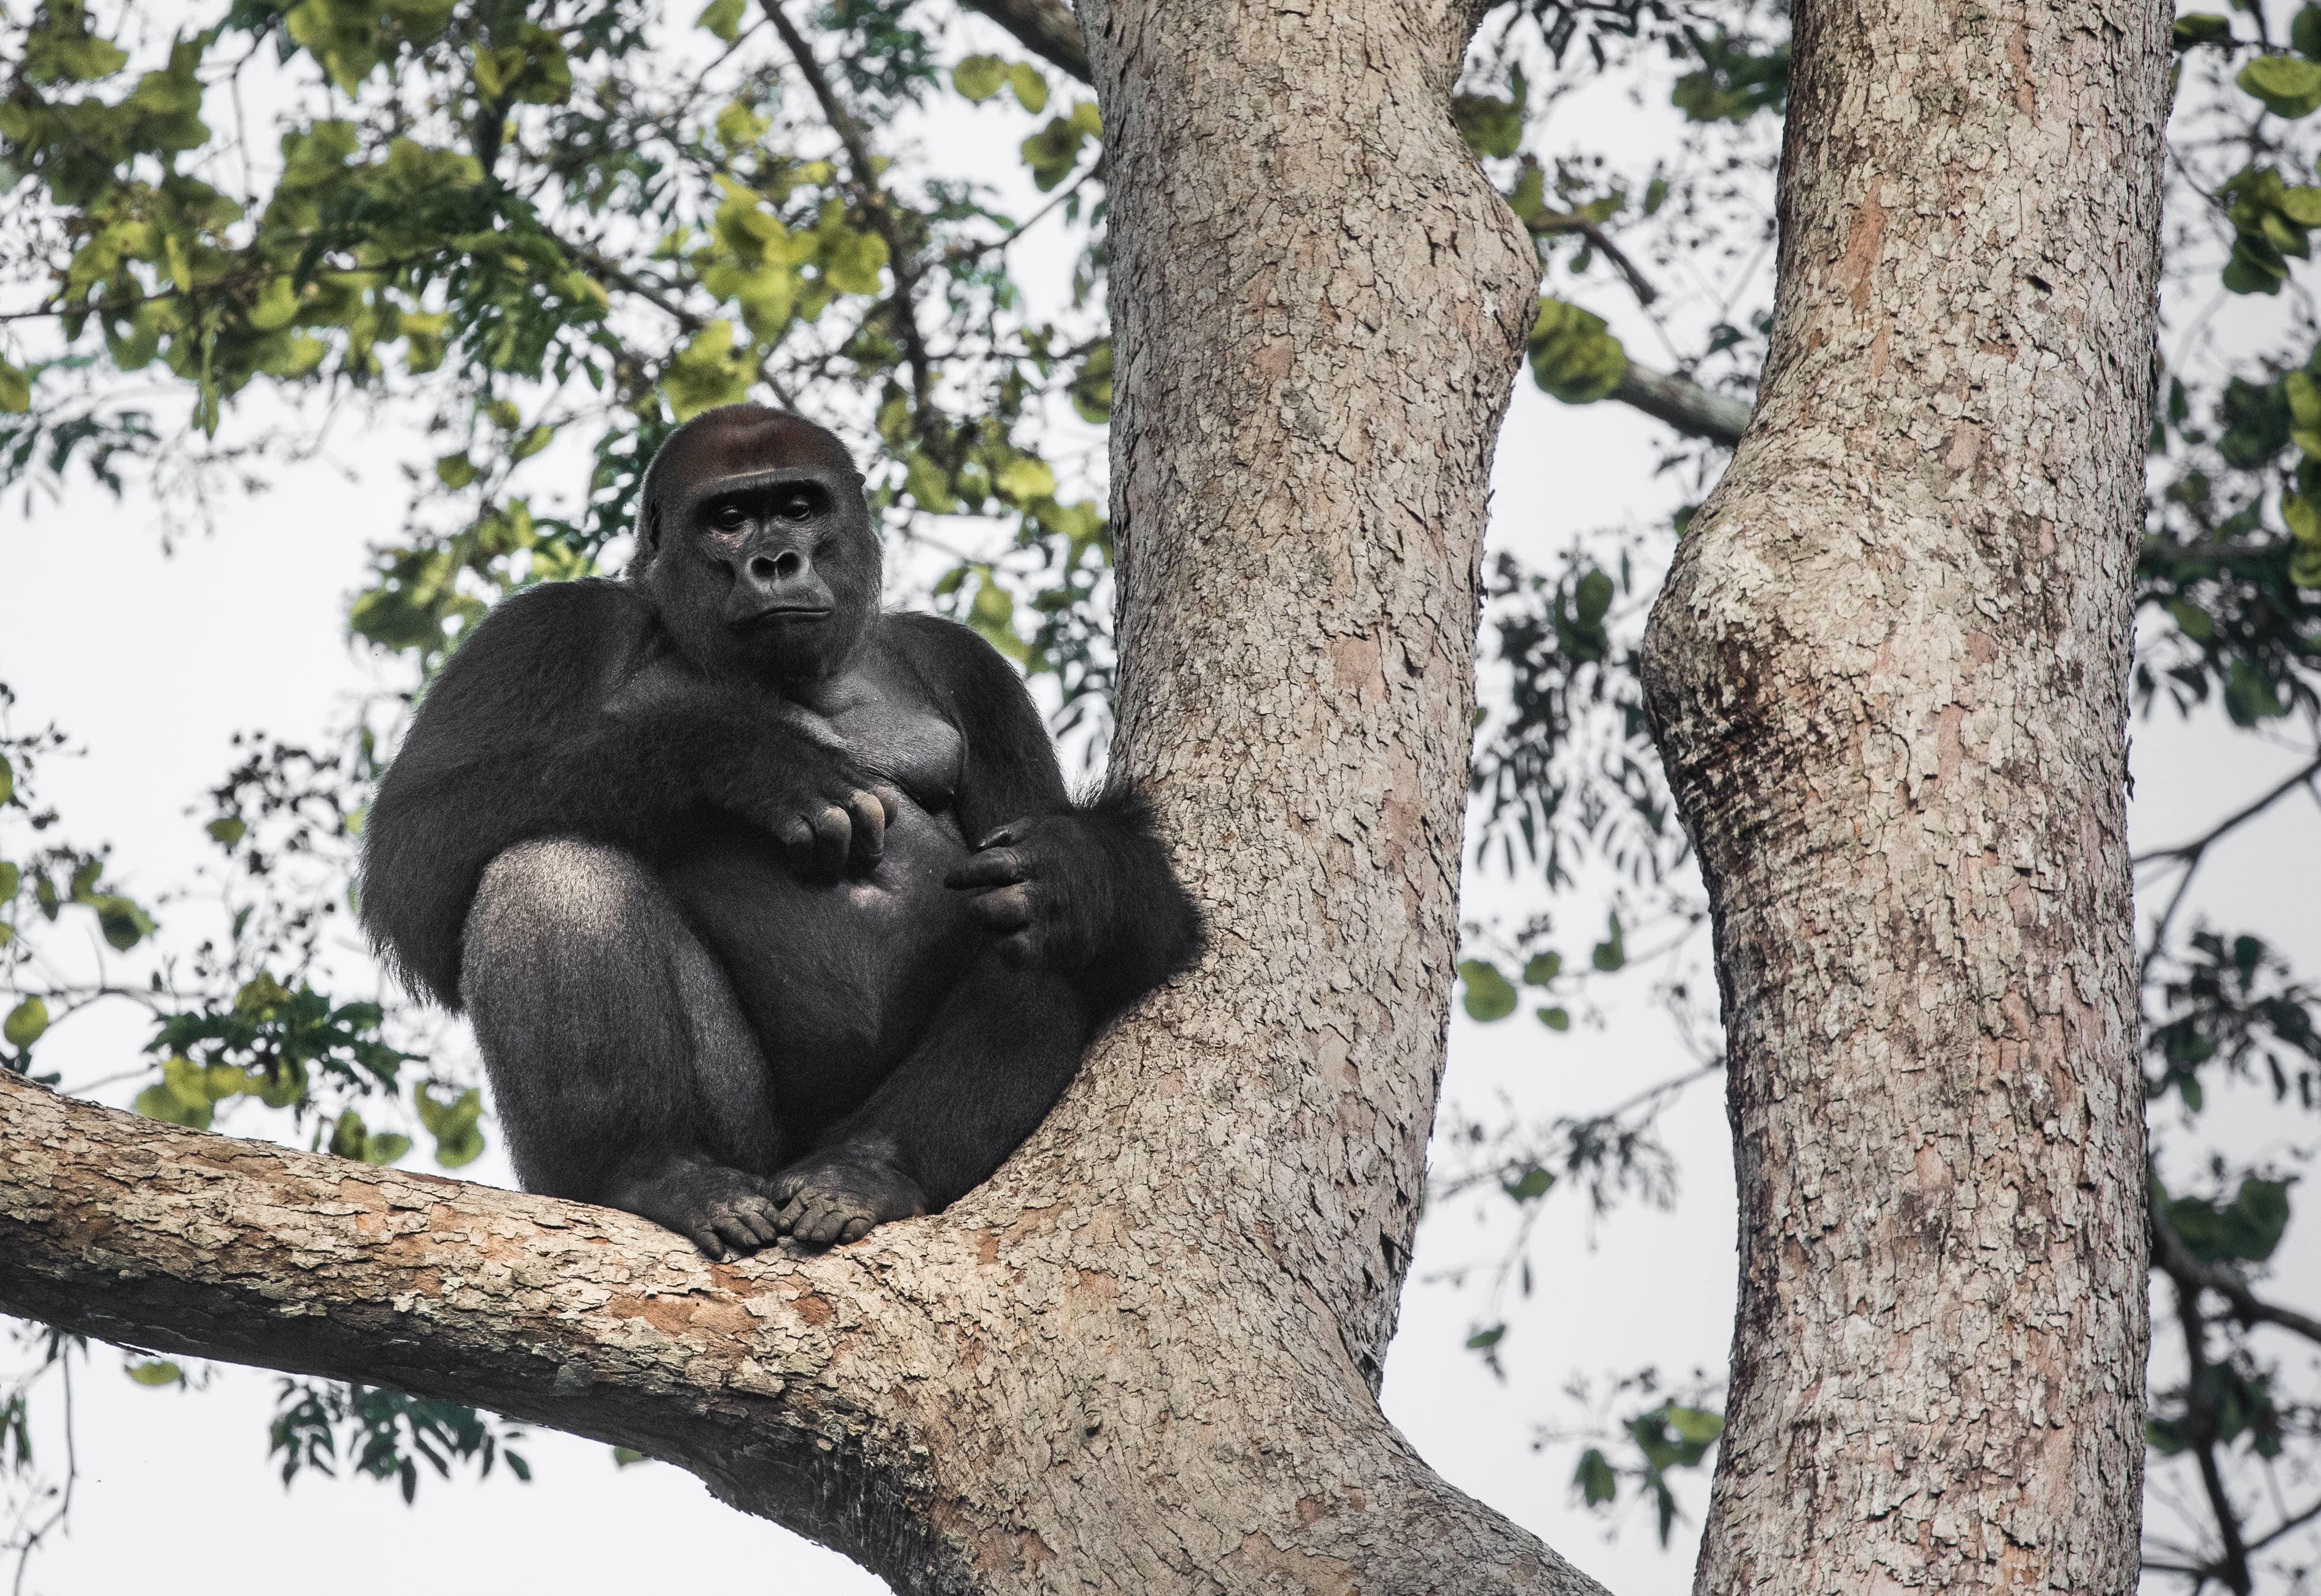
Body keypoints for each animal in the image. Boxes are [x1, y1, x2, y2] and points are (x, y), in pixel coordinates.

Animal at [359, 405, 1200, 1256]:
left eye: (799, 509)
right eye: (729, 521)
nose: (774, 561)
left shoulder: (969, 669)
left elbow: (1103, 901)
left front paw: (1081, 874)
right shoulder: (549, 625)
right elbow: (418, 843)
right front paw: (740, 757)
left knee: (1031, 929)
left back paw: (868, 1169)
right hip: (741, 1150)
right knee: (548, 865)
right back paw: (650, 1172)